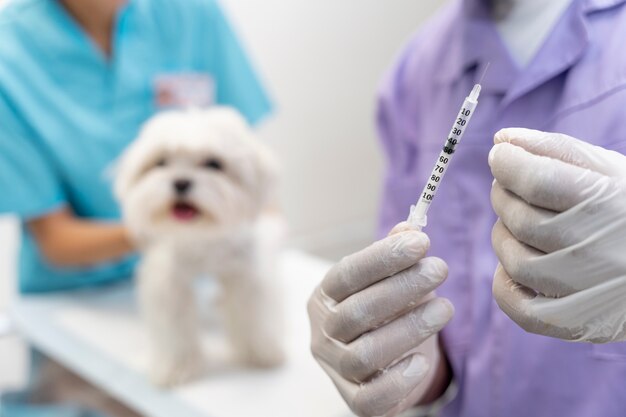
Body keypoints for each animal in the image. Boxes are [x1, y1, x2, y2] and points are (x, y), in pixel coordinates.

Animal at [113, 107, 284, 386]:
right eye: (161, 162)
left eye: (214, 164)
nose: (181, 182)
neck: (203, 236)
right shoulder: (169, 281)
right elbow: (175, 325)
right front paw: (177, 367)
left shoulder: (247, 272)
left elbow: (251, 312)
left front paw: (258, 351)